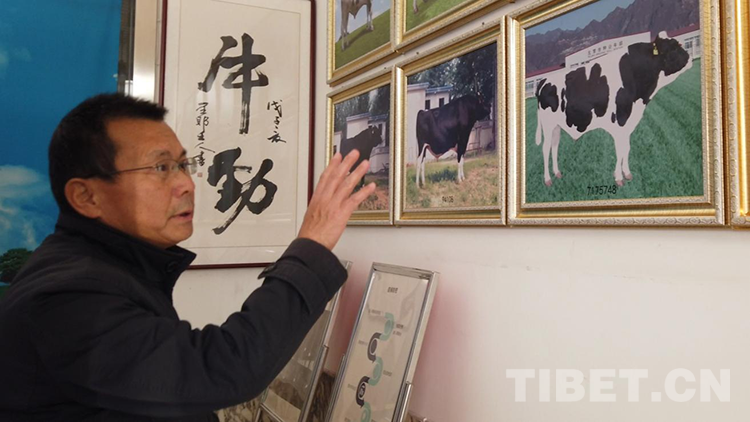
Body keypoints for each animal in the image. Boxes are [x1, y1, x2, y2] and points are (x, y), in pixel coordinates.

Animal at [534, 32, 691, 187]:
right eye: (674, 47)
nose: (689, 58)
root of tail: (544, 80)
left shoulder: (628, 123)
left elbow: (626, 148)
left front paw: (627, 173)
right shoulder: (620, 121)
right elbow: (620, 150)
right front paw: (619, 178)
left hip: (556, 126)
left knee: (554, 146)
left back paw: (557, 173)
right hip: (548, 124)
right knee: (545, 148)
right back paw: (547, 179)